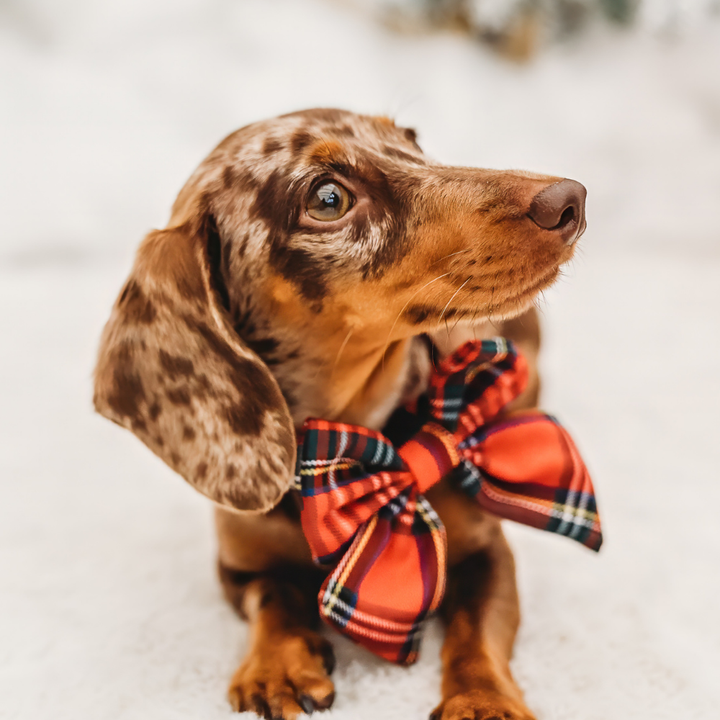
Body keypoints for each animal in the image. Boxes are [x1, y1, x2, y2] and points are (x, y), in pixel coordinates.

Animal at [93, 107, 584, 720]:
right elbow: (273, 597)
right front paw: (278, 665)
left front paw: (481, 699)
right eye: (328, 199)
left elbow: (476, 630)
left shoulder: (487, 552)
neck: (347, 445)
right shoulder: (240, 565)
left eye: (411, 140)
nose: (570, 198)